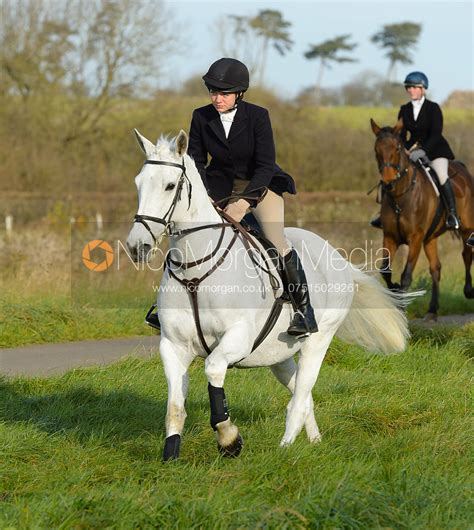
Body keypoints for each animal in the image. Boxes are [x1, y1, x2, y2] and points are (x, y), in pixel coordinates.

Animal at [126, 128, 412, 458]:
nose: (137, 247)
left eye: (170, 185)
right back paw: (315, 441)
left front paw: (229, 439)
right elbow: (174, 407)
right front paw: (171, 453)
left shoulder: (237, 338)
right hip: (279, 353)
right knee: (302, 392)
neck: (194, 271)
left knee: (300, 397)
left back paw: (285, 447)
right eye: (138, 182)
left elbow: (213, 370)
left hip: (318, 339)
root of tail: (337, 257)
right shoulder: (172, 347)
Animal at [370, 118, 474, 318]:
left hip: (466, 228)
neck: (400, 197)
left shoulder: (415, 239)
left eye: (397, 148)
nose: (388, 182)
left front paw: (402, 309)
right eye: (376, 150)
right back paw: (432, 310)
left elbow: (406, 275)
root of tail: (463, 168)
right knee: (436, 268)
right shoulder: (390, 237)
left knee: (466, 254)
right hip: (430, 238)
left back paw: (468, 291)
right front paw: (394, 290)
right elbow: (385, 271)